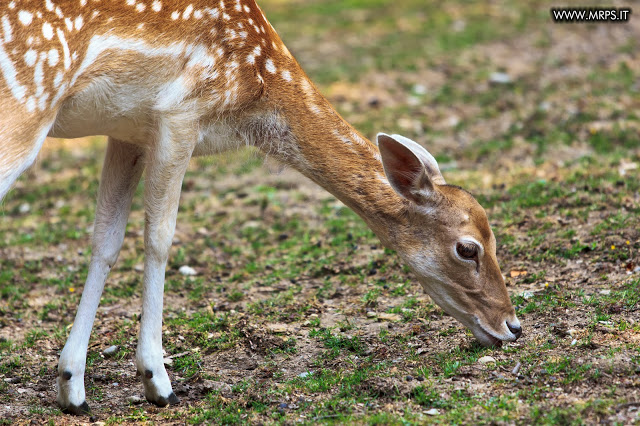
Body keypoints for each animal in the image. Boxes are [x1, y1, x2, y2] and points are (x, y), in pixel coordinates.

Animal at [0, 0, 520, 416]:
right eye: (467, 248)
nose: (512, 326)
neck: (254, 95)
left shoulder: (127, 130)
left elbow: (105, 241)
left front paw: (72, 388)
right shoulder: (180, 114)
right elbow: (160, 238)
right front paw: (158, 382)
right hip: (27, 101)